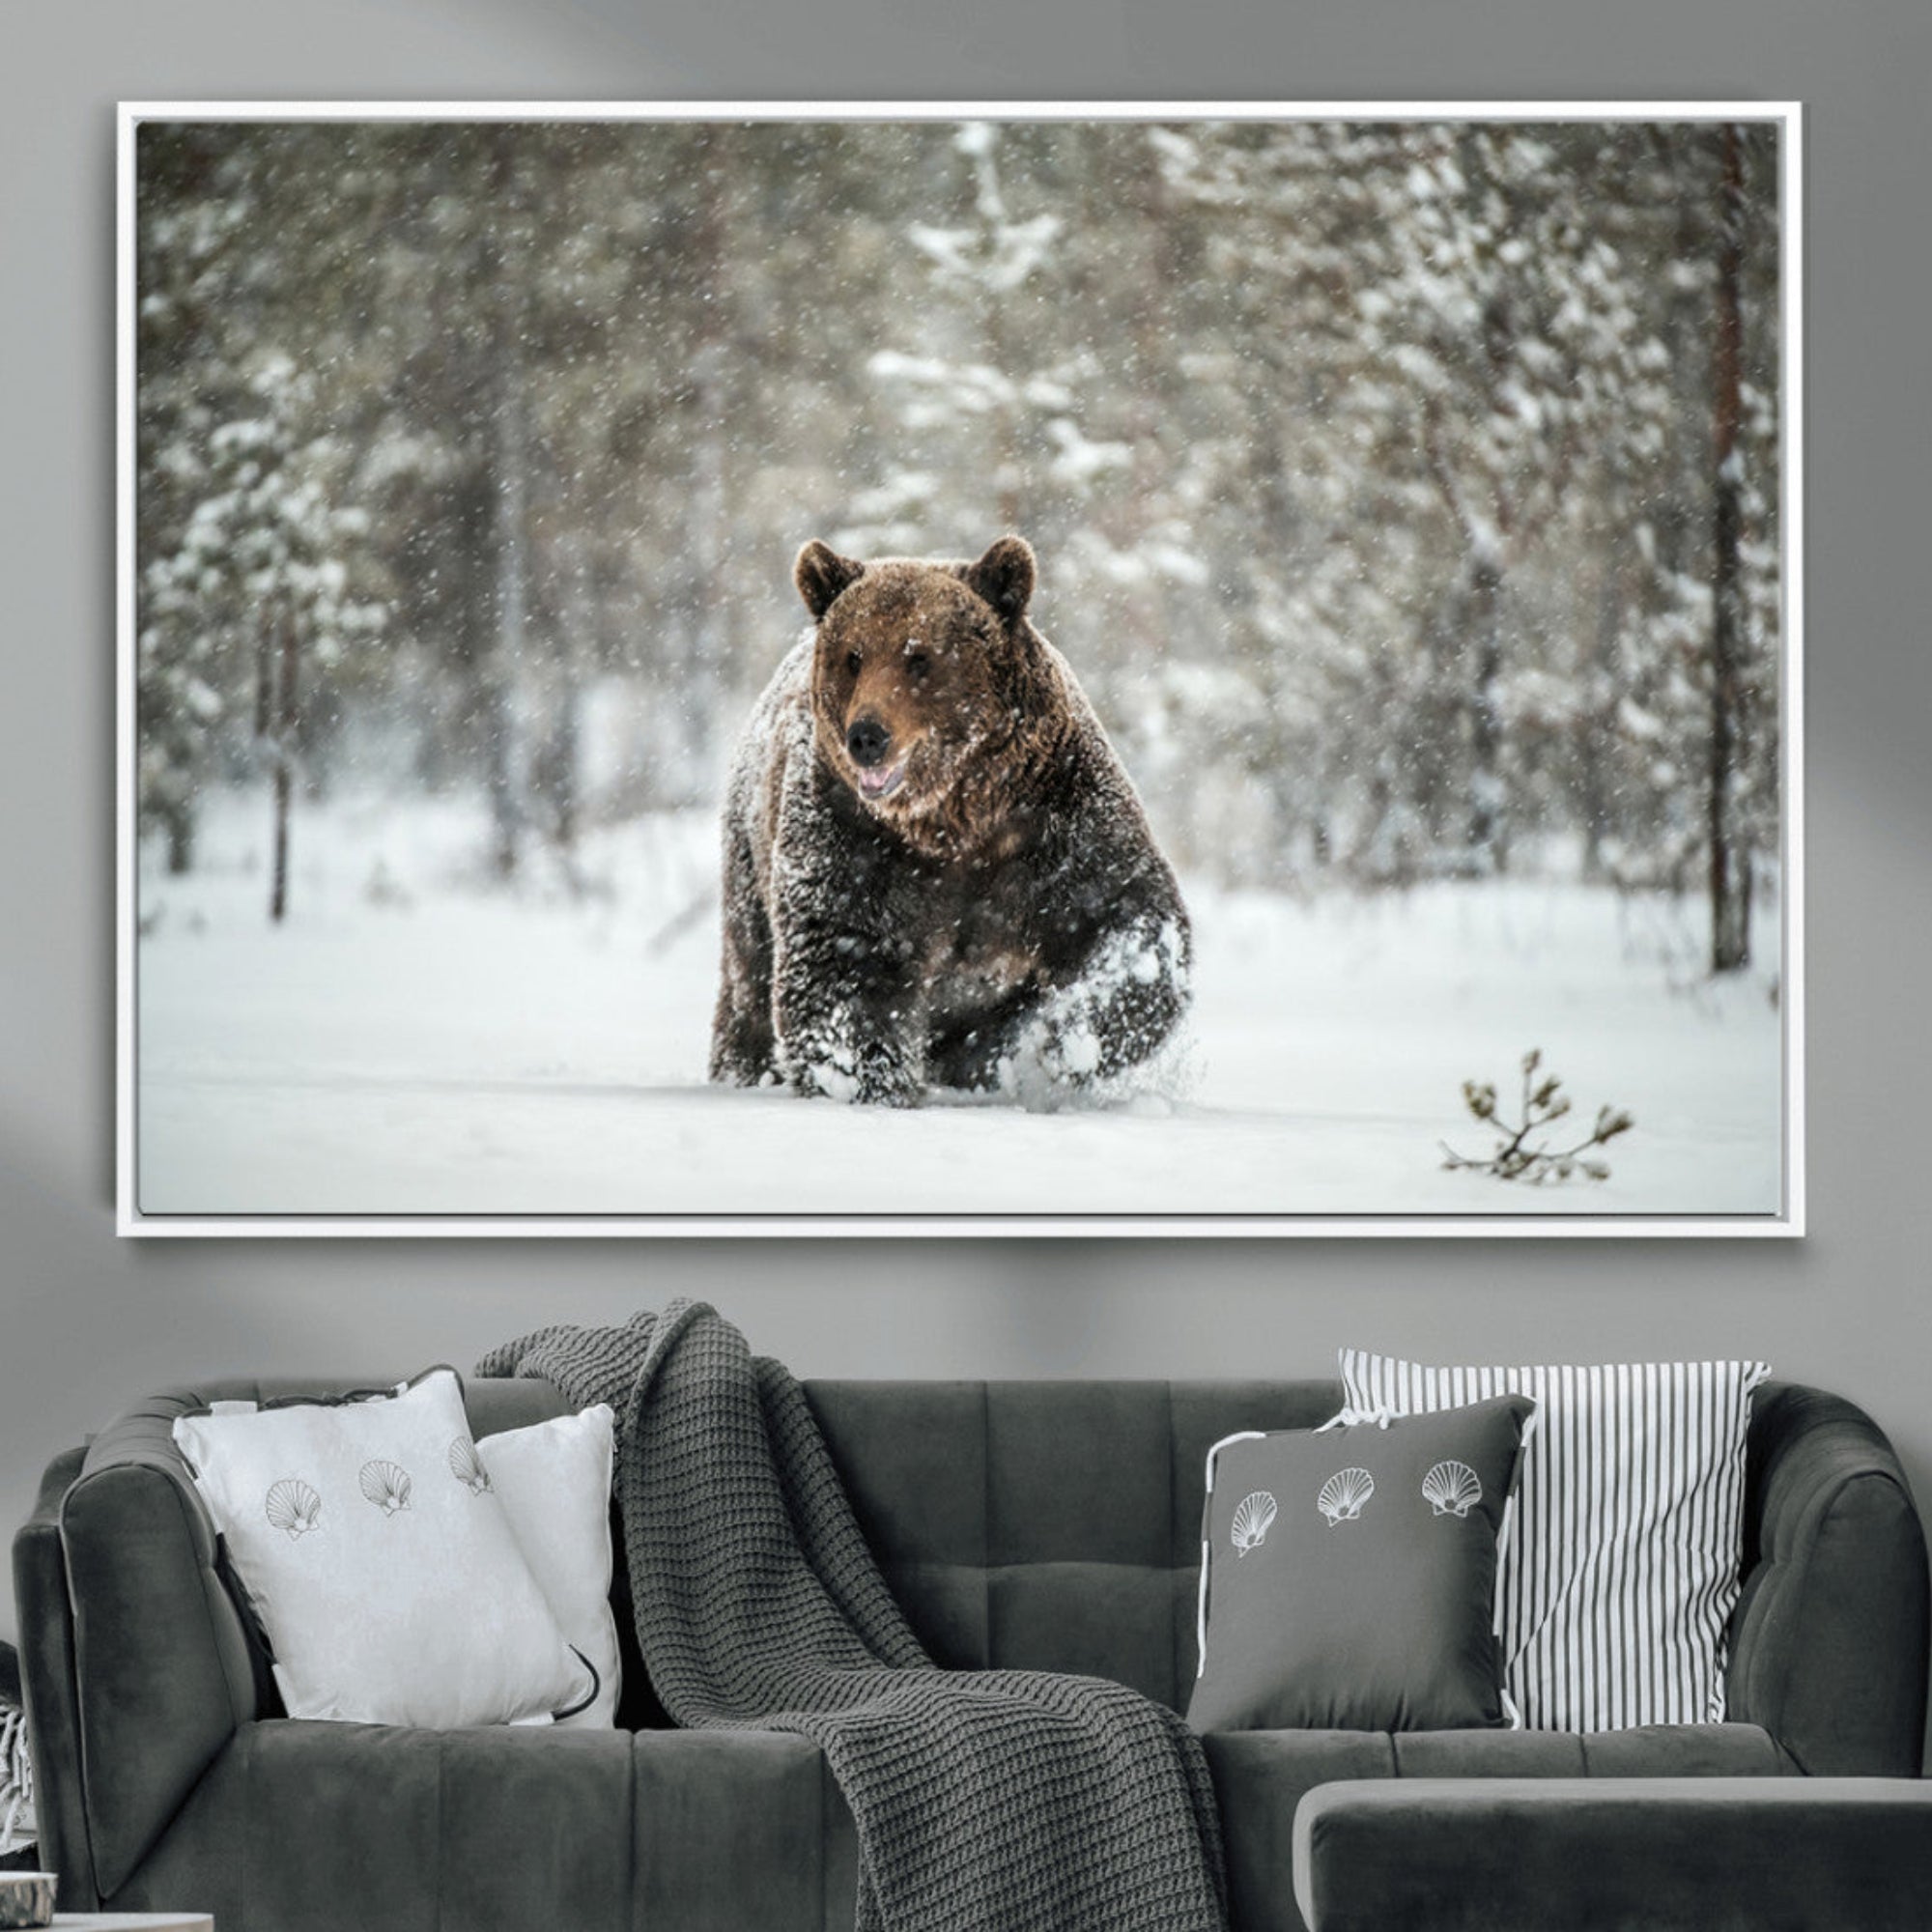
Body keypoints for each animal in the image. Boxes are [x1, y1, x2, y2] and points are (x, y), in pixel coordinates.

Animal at [709, 535, 1192, 1106]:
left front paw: (1063, 1043)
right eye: (854, 656)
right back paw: (745, 1068)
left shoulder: (1056, 820)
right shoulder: (854, 838)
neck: (955, 817)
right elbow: (845, 962)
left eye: (919, 656)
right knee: (749, 982)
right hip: (749, 856)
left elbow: (1127, 918)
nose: (867, 736)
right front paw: (869, 1083)